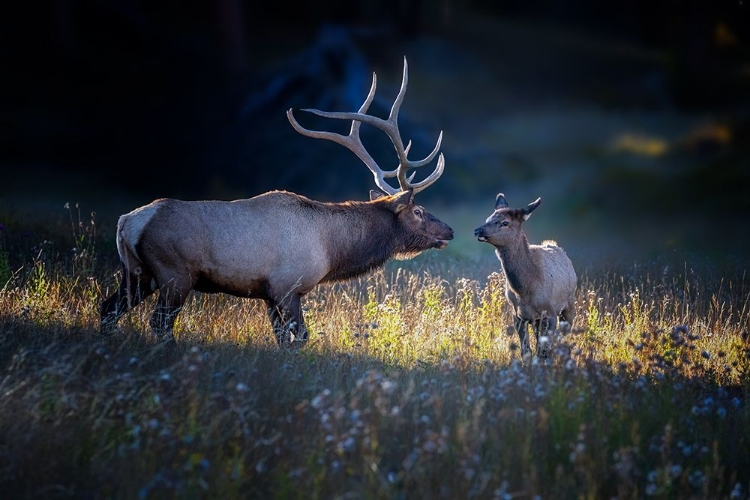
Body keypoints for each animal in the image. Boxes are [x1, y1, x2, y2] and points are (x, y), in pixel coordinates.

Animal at [478, 192, 580, 360]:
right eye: (488, 219)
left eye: (505, 223)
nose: (478, 230)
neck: (525, 289)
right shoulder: (518, 315)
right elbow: (526, 351)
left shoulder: (550, 312)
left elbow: (543, 351)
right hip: (537, 320)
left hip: (569, 305)